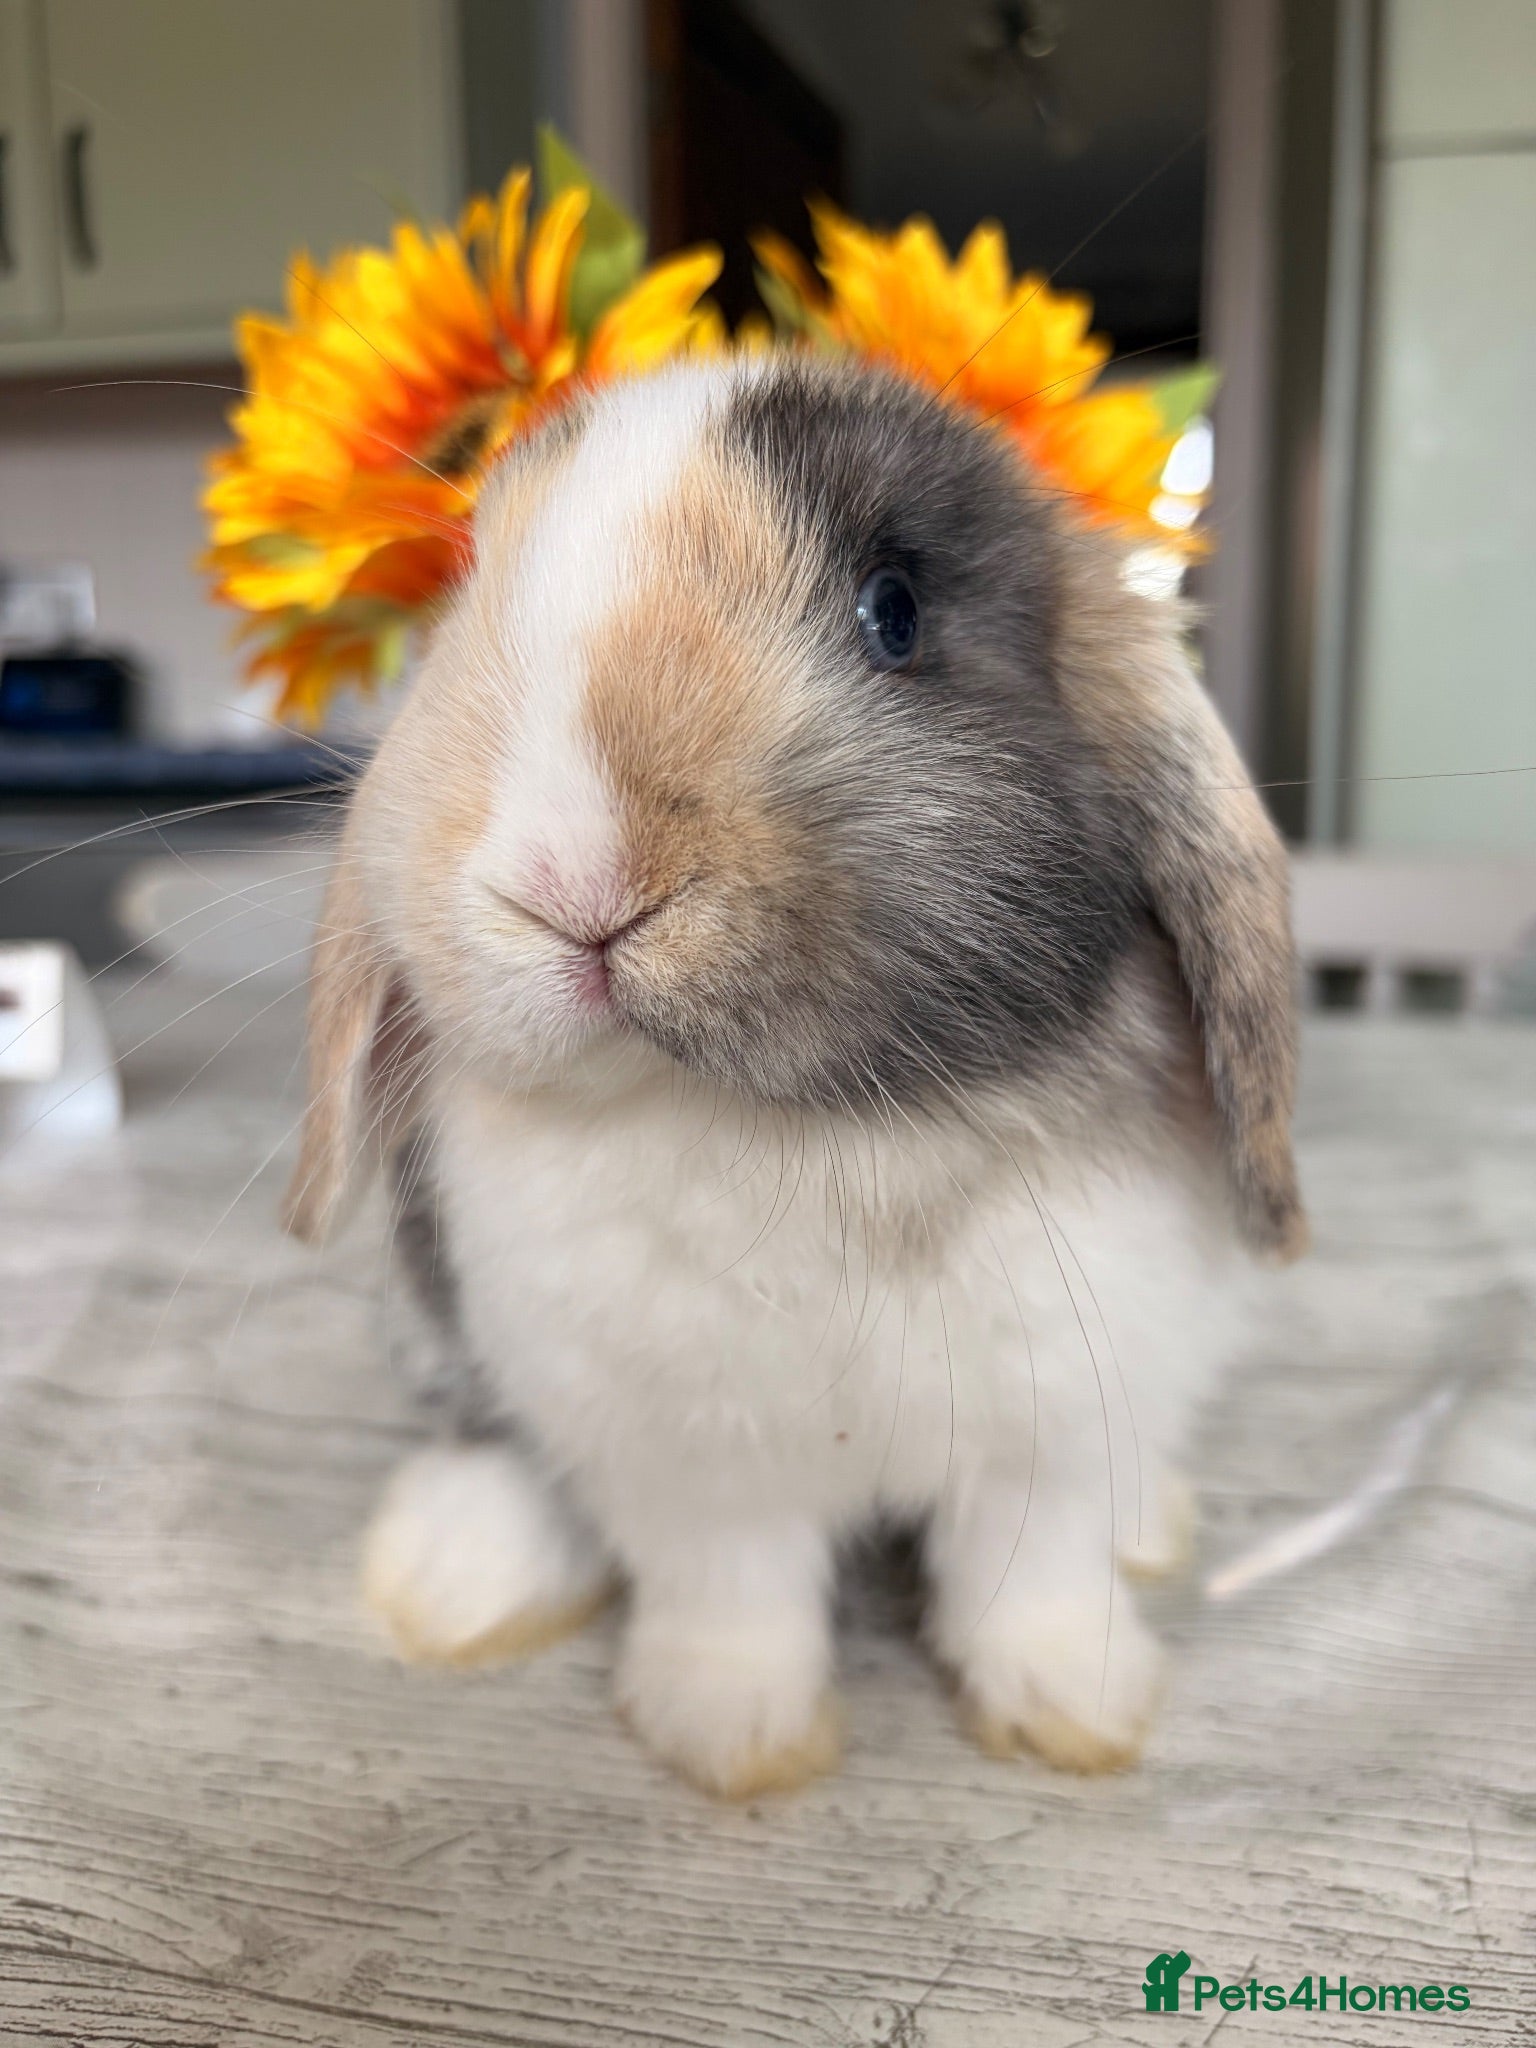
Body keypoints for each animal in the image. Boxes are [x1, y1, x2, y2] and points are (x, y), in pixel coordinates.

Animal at [283, 354, 1305, 1798]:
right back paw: (454, 1581)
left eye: (895, 609)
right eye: (475, 583)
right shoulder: (695, 1458)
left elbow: (1032, 1581)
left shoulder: (1055, 1423)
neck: (810, 1134)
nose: (569, 875)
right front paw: (734, 1739)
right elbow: (733, 1592)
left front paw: (1074, 1712)